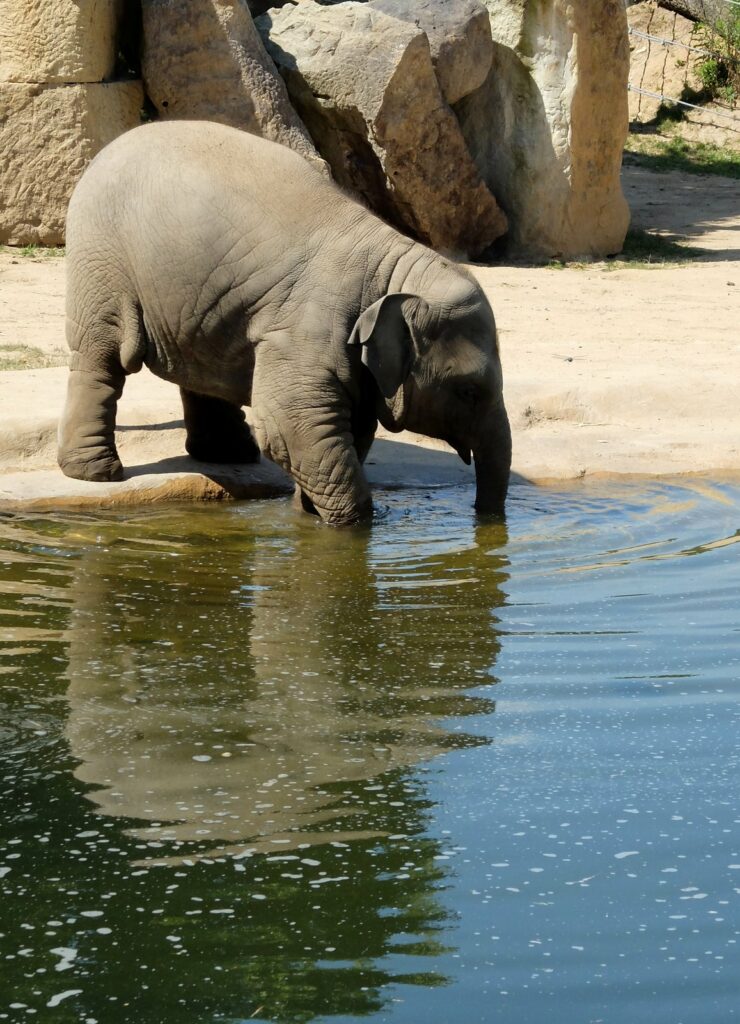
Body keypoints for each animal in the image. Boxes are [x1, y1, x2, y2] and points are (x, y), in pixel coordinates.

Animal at [57, 120, 511, 524]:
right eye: (468, 391)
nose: (484, 521)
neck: (392, 270)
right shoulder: (307, 330)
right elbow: (292, 423)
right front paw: (352, 524)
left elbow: (347, 427)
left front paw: (307, 511)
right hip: (101, 257)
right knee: (105, 353)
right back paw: (96, 473)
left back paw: (229, 454)